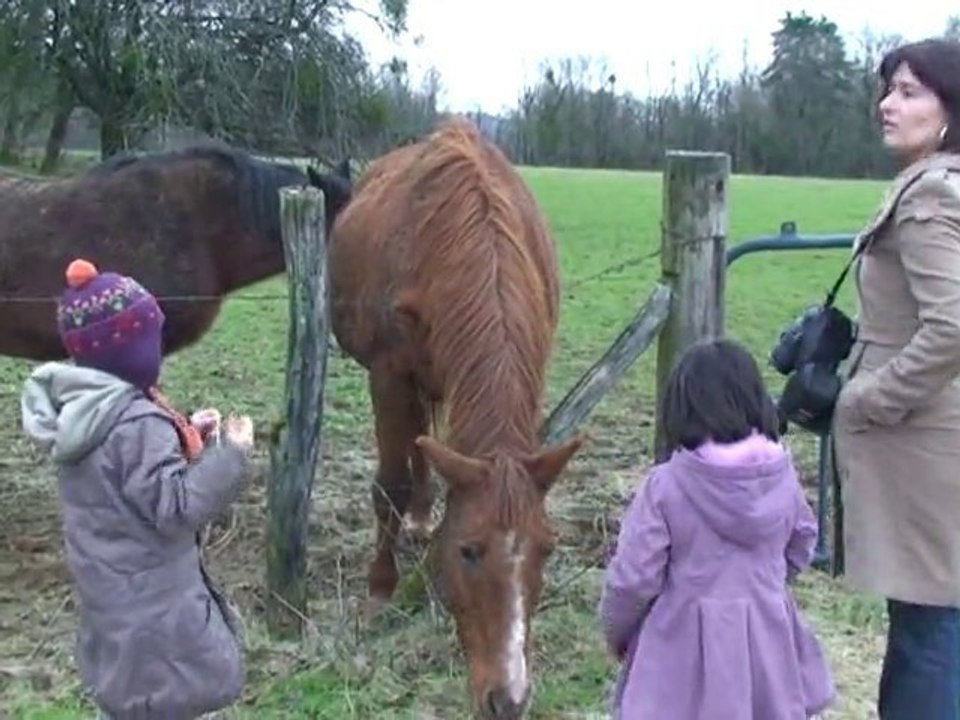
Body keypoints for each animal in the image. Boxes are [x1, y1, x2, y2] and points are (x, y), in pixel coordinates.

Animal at [327, 117, 584, 720]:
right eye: (467, 551)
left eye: (548, 548)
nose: (508, 699)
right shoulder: (389, 375)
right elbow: (389, 485)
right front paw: (380, 588)